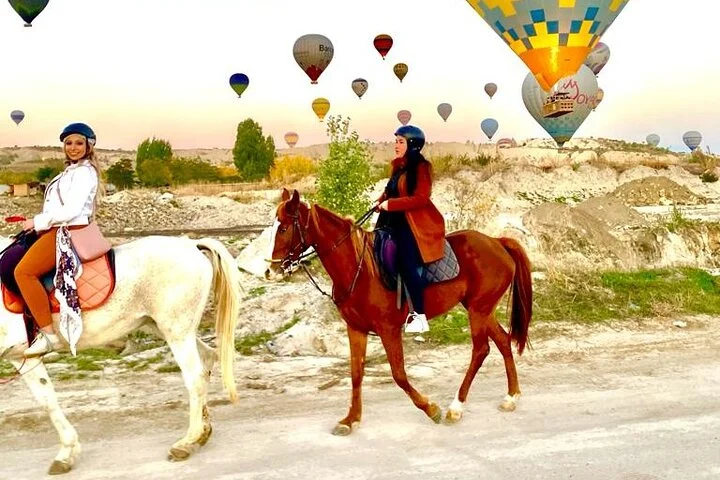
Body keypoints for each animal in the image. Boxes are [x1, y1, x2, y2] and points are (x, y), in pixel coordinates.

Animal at [0, 235, 241, 475]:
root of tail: (192, 245)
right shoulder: (22, 357)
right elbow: (47, 399)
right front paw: (66, 454)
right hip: (166, 328)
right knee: (207, 358)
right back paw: (202, 433)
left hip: (177, 331)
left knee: (195, 378)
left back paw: (186, 442)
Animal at [266, 189, 532, 435]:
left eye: (284, 228)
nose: (270, 271)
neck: (359, 269)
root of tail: (497, 242)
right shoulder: (356, 329)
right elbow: (356, 374)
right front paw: (350, 419)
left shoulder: (388, 329)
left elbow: (399, 374)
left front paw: (431, 408)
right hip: (481, 309)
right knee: (503, 340)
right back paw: (511, 397)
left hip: (478, 310)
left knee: (481, 350)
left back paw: (455, 408)